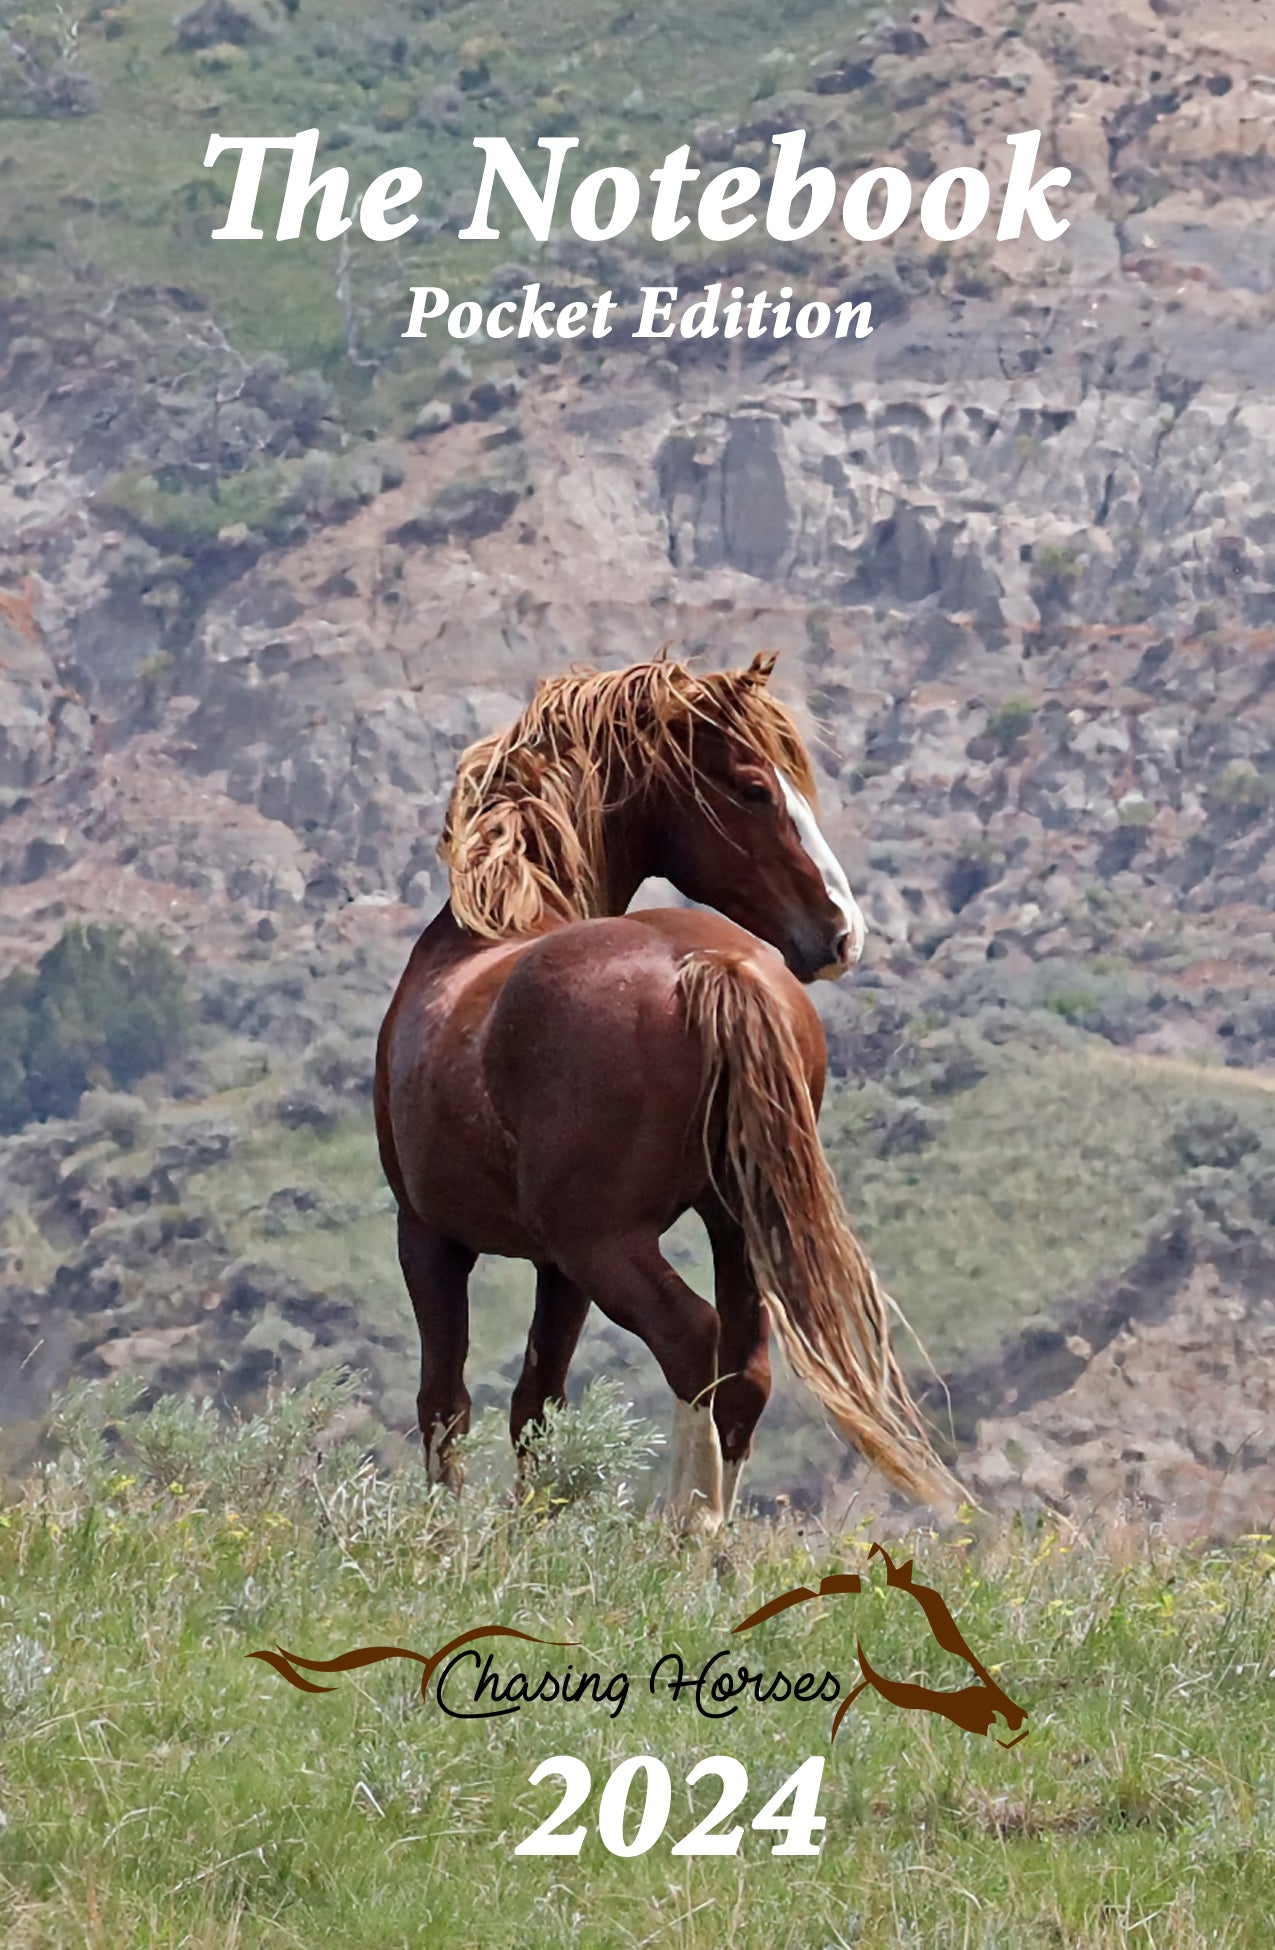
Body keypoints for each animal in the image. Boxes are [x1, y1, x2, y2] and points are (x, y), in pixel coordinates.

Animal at [374, 647, 963, 1528]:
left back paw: (688, 1527)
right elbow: (535, 1405)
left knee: (690, 1342)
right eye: (755, 789)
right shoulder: (553, 1267)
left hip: (607, 1245)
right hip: (732, 1229)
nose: (841, 935)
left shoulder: (431, 1238)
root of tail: (714, 967)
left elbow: (446, 1405)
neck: (490, 929)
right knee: (742, 1371)